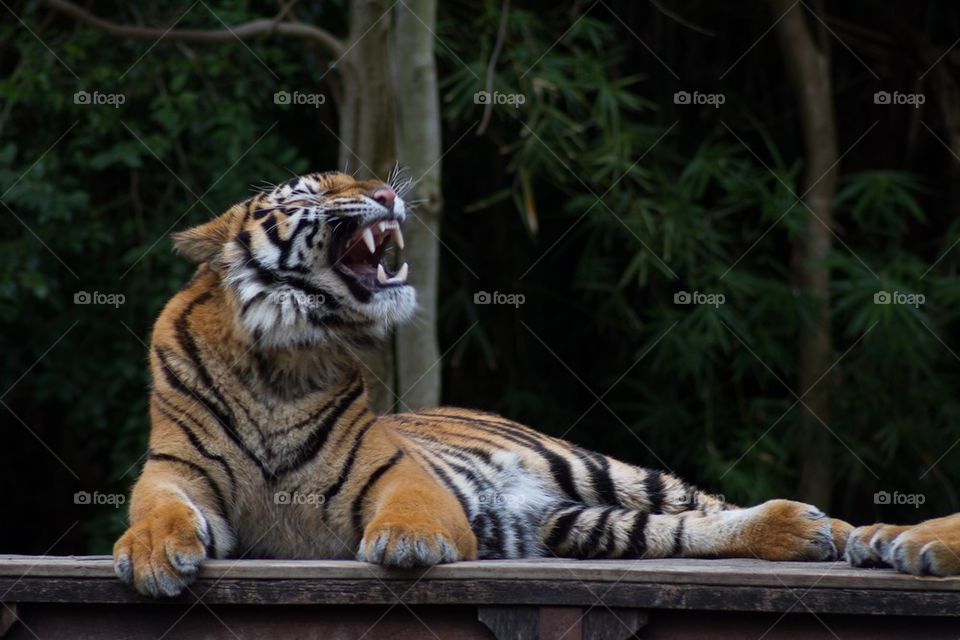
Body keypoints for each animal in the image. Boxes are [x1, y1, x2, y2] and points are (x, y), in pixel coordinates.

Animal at [114, 170, 853, 597]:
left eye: (363, 178)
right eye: (313, 190)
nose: (386, 193)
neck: (281, 359)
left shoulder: (392, 470)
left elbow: (409, 503)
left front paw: (407, 541)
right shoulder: (176, 470)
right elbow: (155, 509)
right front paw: (150, 555)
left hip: (591, 467)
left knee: (701, 502)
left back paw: (840, 532)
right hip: (576, 524)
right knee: (675, 531)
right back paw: (799, 534)